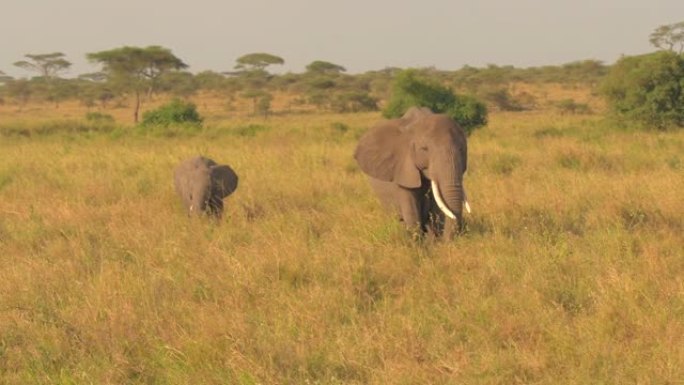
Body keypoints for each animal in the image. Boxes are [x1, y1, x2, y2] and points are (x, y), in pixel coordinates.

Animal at [352, 106, 470, 236]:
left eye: (462, 149)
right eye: (424, 149)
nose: (449, 240)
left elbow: (436, 211)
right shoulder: (403, 169)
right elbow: (412, 212)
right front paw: (418, 241)